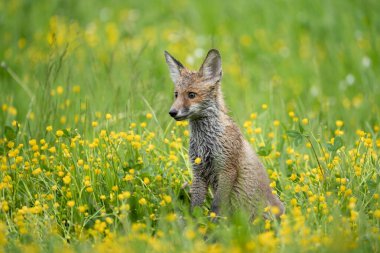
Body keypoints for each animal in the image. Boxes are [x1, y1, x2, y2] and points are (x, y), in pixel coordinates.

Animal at [164, 48, 284, 218]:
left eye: (191, 95)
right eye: (176, 94)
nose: (172, 112)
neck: (205, 141)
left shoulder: (227, 169)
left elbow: (216, 206)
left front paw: (214, 222)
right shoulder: (198, 171)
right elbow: (195, 207)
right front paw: (195, 224)